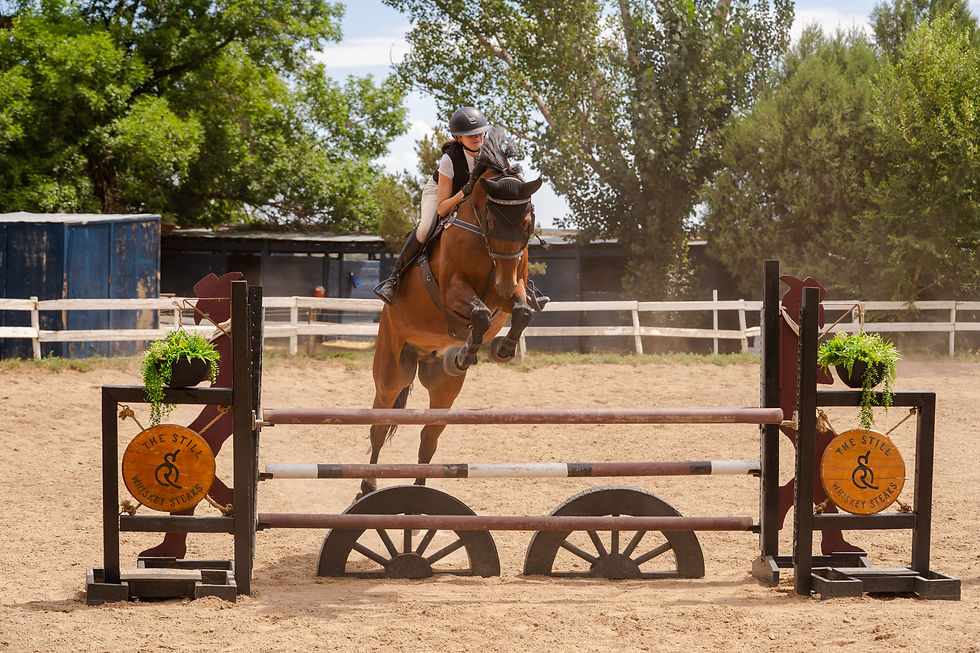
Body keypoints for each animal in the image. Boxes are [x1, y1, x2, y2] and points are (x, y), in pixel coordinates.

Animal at [361, 127, 542, 496]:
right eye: (491, 219)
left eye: (527, 220)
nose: (503, 284)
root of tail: (422, 354)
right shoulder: (452, 292)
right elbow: (480, 315)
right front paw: (469, 352)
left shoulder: (509, 288)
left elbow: (521, 312)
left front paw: (500, 349)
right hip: (391, 373)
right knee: (379, 426)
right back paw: (367, 487)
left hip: (444, 390)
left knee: (428, 438)